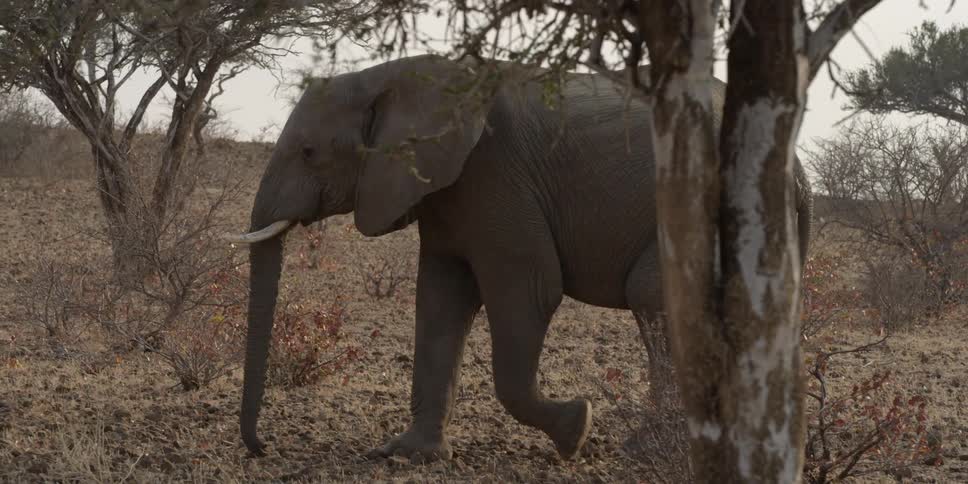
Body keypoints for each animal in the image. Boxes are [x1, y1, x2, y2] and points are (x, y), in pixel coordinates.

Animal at [226, 54, 813, 463]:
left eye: (309, 153)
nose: (262, 448)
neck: (391, 75)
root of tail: (800, 173)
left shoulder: (498, 178)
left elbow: (529, 291)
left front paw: (576, 429)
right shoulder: (447, 190)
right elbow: (440, 298)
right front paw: (410, 455)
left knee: (655, 297)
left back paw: (647, 449)